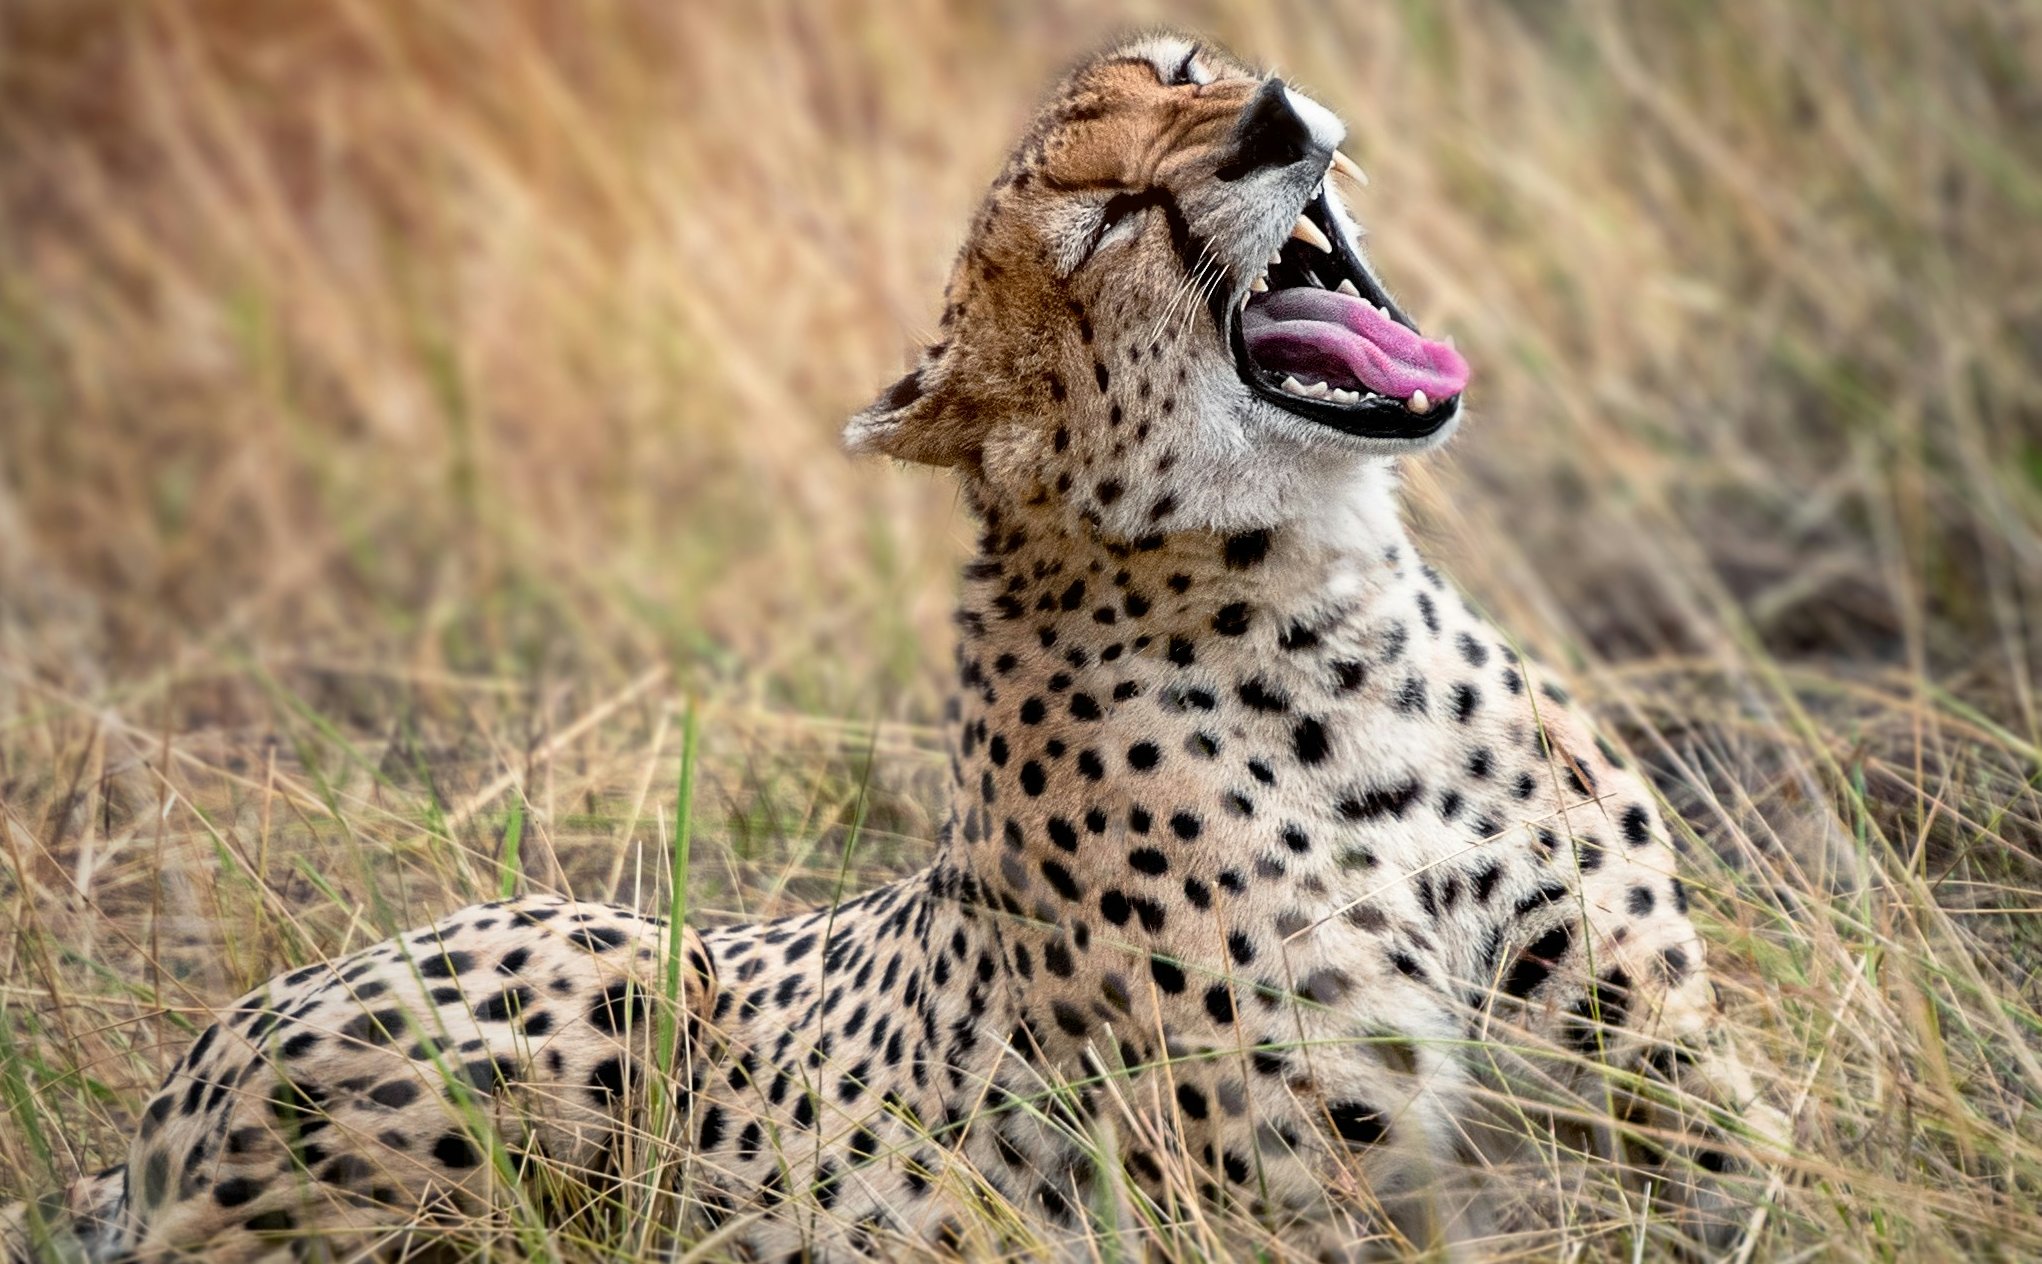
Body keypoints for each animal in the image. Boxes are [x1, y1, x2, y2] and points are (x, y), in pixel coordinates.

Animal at [4, 32, 1784, 1263]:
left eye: (1187, 72)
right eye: (1107, 221)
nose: (1277, 117)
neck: (1328, 603)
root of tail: (149, 1120)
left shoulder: (1654, 1061)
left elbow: (1774, 1164)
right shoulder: (1305, 1200)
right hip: (602, 970)